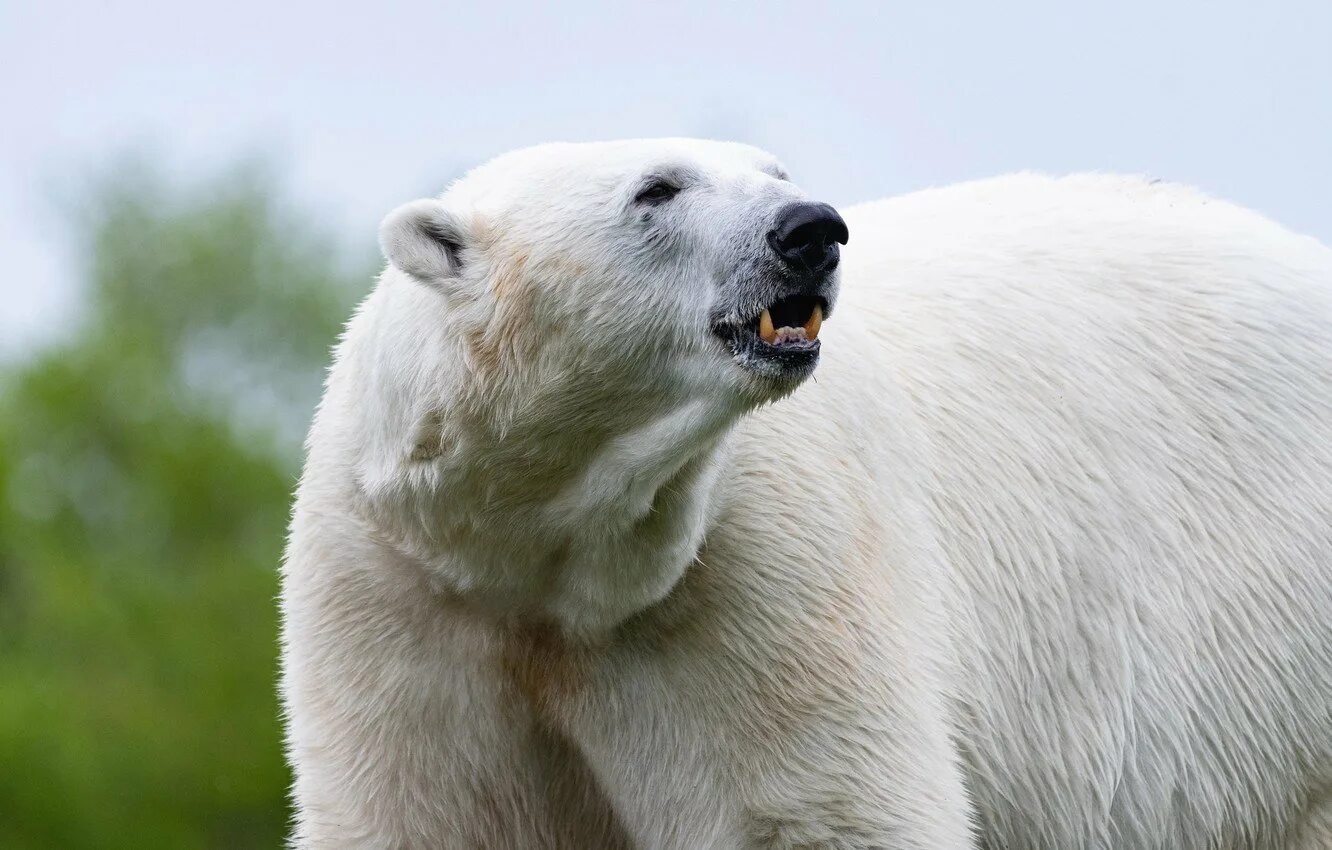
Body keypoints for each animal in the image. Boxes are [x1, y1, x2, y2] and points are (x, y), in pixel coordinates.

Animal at [281, 136, 1332, 847]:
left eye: (777, 172)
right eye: (657, 187)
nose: (810, 229)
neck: (540, 547)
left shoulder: (760, 570)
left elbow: (819, 811)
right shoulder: (400, 593)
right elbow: (424, 814)